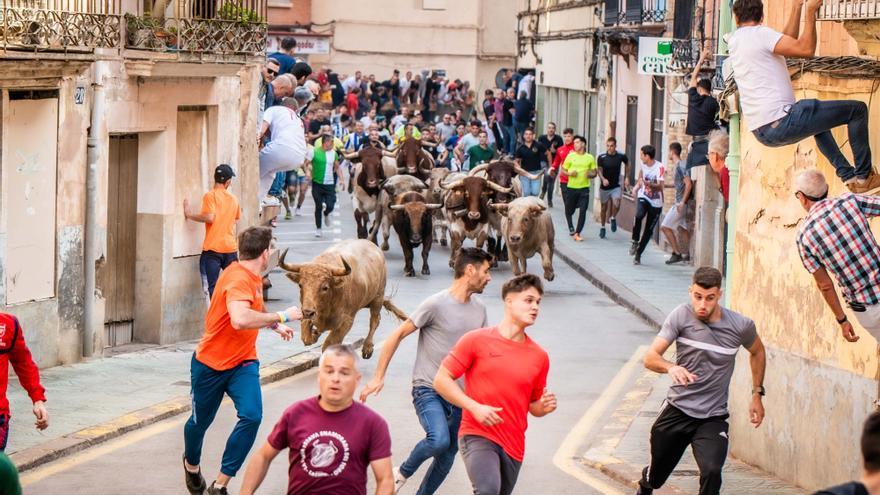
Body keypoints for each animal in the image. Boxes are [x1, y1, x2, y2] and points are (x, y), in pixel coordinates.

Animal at [278, 238, 410, 358]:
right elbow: (307, 337)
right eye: (300, 285)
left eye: (325, 287)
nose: (308, 312)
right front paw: (314, 333)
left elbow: (328, 344)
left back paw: (367, 348)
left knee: (374, 321)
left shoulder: (346, 321)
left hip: (378, 298)